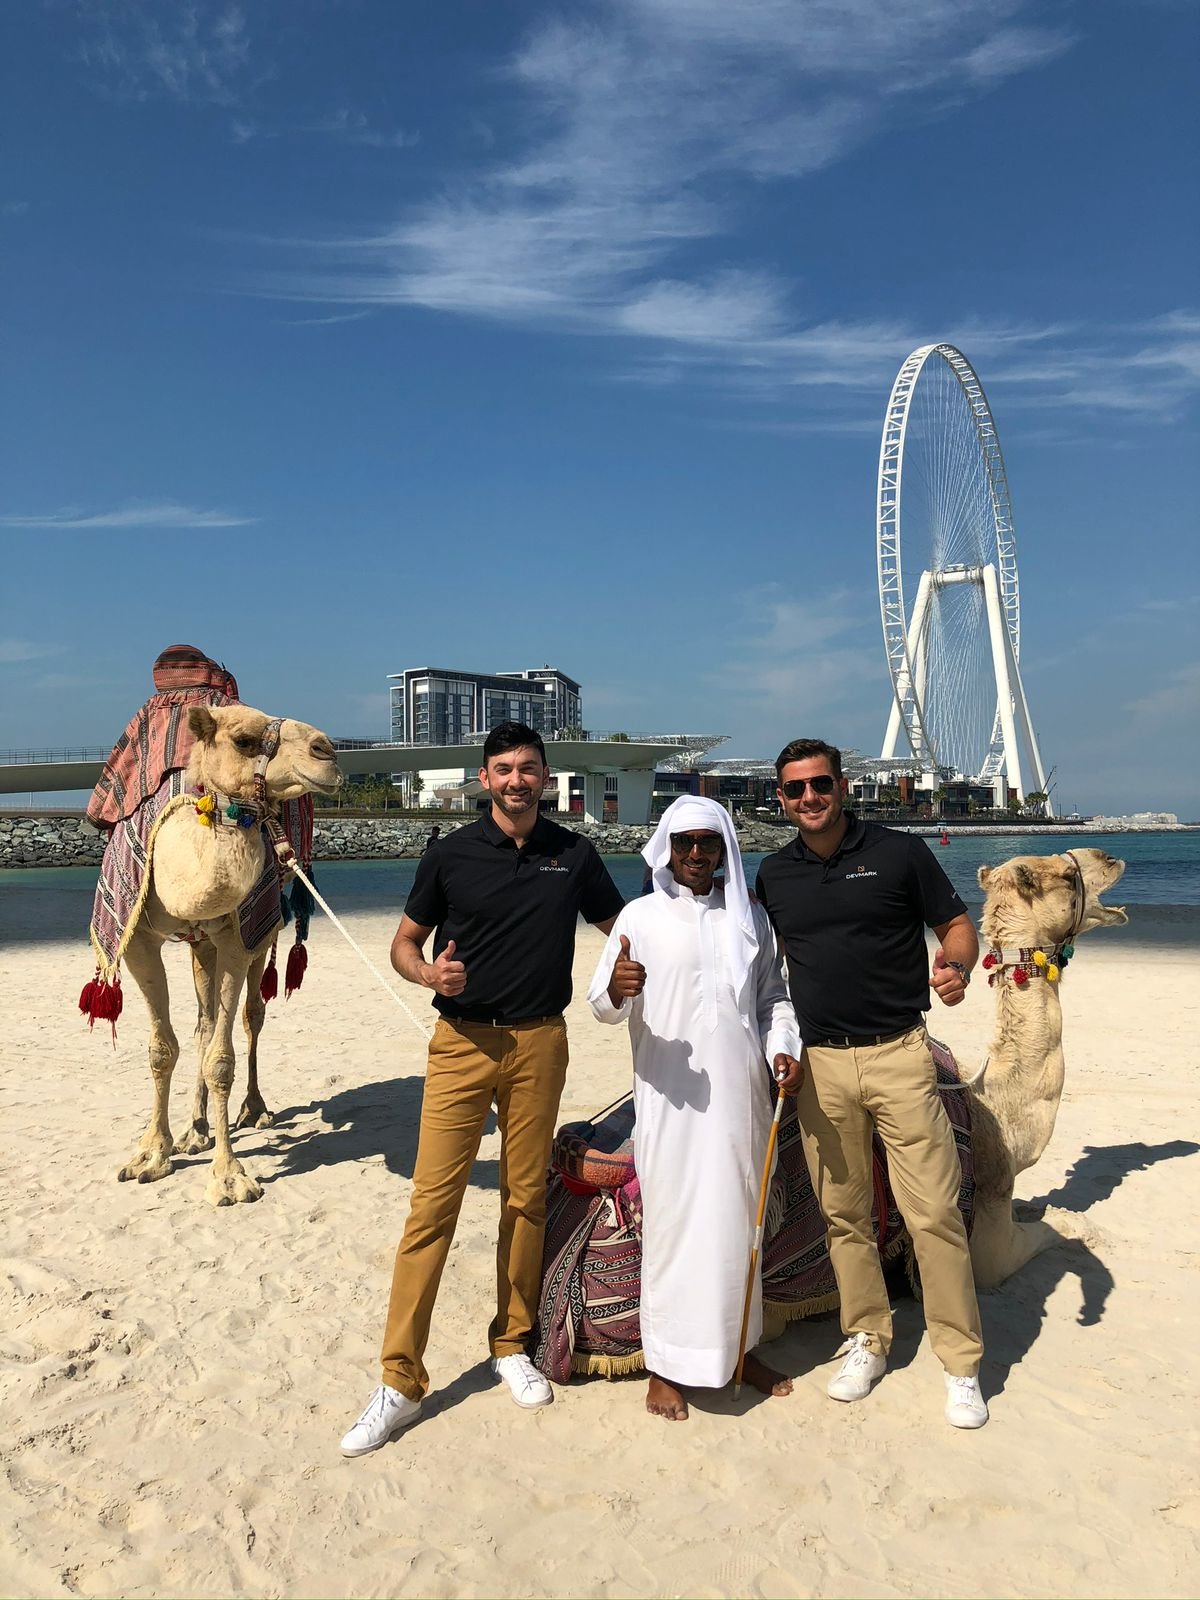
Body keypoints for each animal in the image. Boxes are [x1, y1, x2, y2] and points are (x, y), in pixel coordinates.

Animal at [115, 703, 341, 1206]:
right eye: (243, 740)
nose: (327, 751)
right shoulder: (138, 940)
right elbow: (162, 1048)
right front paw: (150, 1154)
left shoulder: (237, 940)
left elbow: (222, 1059)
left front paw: (229, 1177)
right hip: (199, 946)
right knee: (202, 1022)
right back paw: (194, 1130)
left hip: (260, 934)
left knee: (250, 1017)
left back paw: (253, 1110)